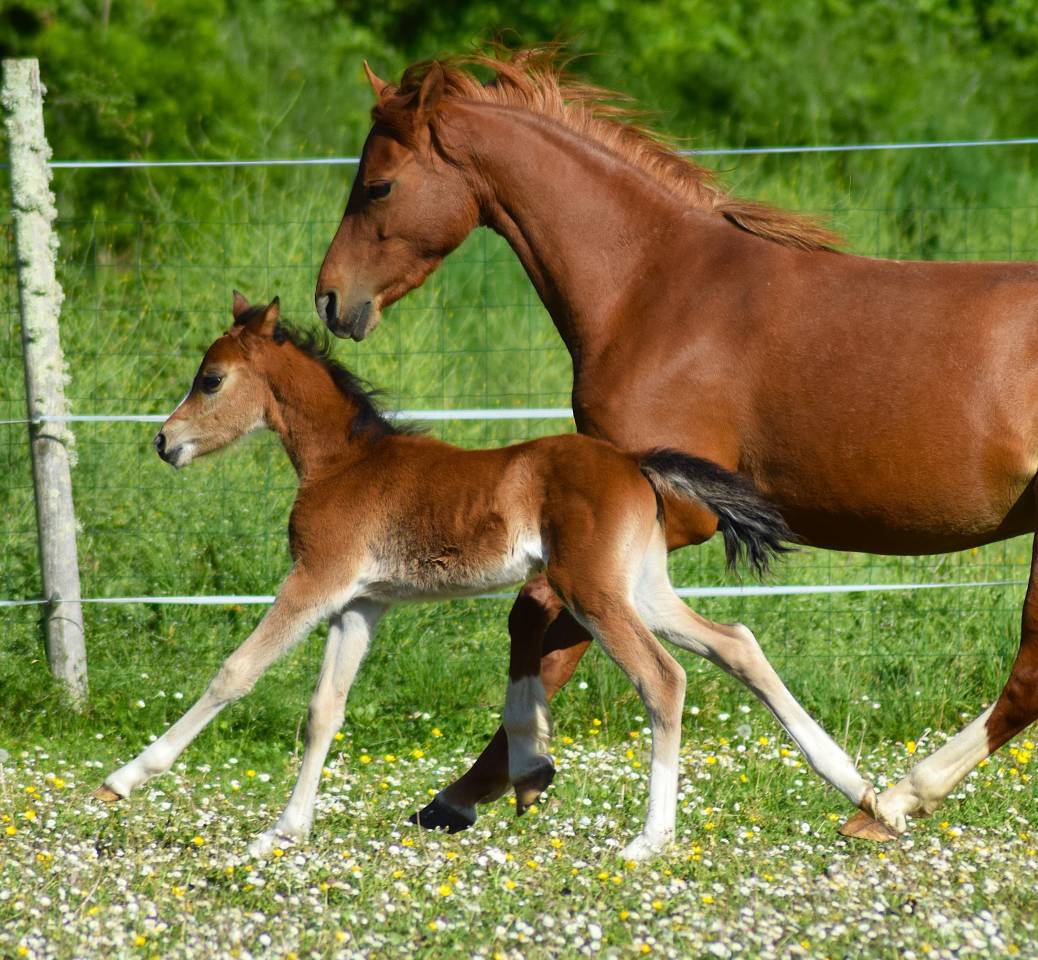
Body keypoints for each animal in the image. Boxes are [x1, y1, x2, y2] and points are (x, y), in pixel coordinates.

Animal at [91, 293, 859, 859]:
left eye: (212, 379)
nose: (163, 441)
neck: (343, 463)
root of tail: (635, 464)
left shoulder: (314, 578)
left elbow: (236, 672)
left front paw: (123, 780)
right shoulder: (360, 604)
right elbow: (324, 709)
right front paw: (283, 831)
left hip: (593, 591)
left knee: (663, 678)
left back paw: (651, 840)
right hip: (642, 589)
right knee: (737, 643)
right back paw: (856, 787)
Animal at [314, 48, 1038, 843]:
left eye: (378, 185)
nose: (330, 298)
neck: (654, 289)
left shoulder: (666, 512)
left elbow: (538, 621)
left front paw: (487, 786)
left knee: (1027, 674)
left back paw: (895, 801)